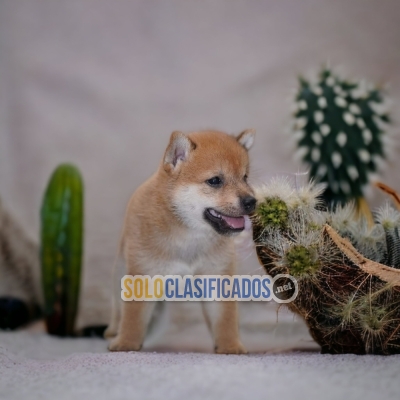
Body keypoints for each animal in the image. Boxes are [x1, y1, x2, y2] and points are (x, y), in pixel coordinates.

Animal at [105, 129, 256, 354]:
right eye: (215, 181)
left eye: (245, 177)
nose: (251, 201)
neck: (190, 235)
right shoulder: (143, 273)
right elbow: (133, 317)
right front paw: (126, 344)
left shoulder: (217, 276)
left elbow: (225, 319)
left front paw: (230, 346)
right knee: (118, 312)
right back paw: (113, 332)